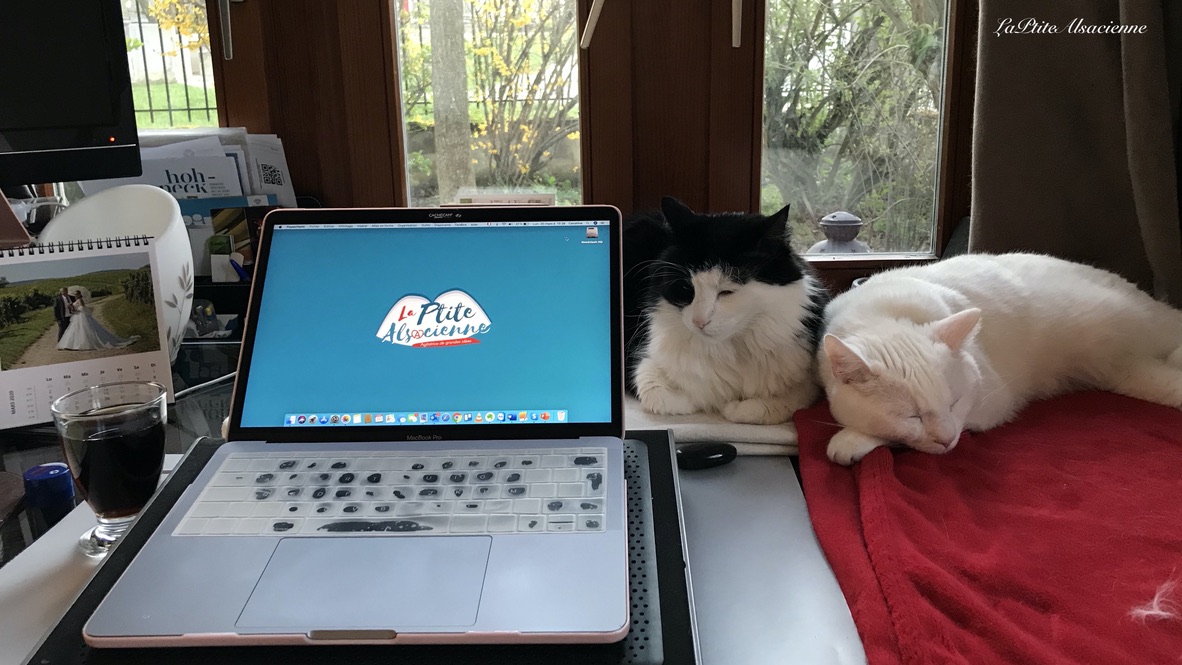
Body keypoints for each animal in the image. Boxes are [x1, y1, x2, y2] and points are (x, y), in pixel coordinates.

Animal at [624, 197, 827, 427]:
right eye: (687, 288)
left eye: (727, 291)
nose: (699, 321)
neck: (729, 350)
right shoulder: (644, 363)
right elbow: (668, 397)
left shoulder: (806, 382)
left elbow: (776, 405)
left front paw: (732, 408)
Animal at [817, 252, 1182, 465]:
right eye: (912, 415)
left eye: (954, 402)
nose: (947, 440)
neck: (884, 312)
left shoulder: (993, 400)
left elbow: (891, 437)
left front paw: (850, 440)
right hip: (1131, 374)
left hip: (1135, 330)